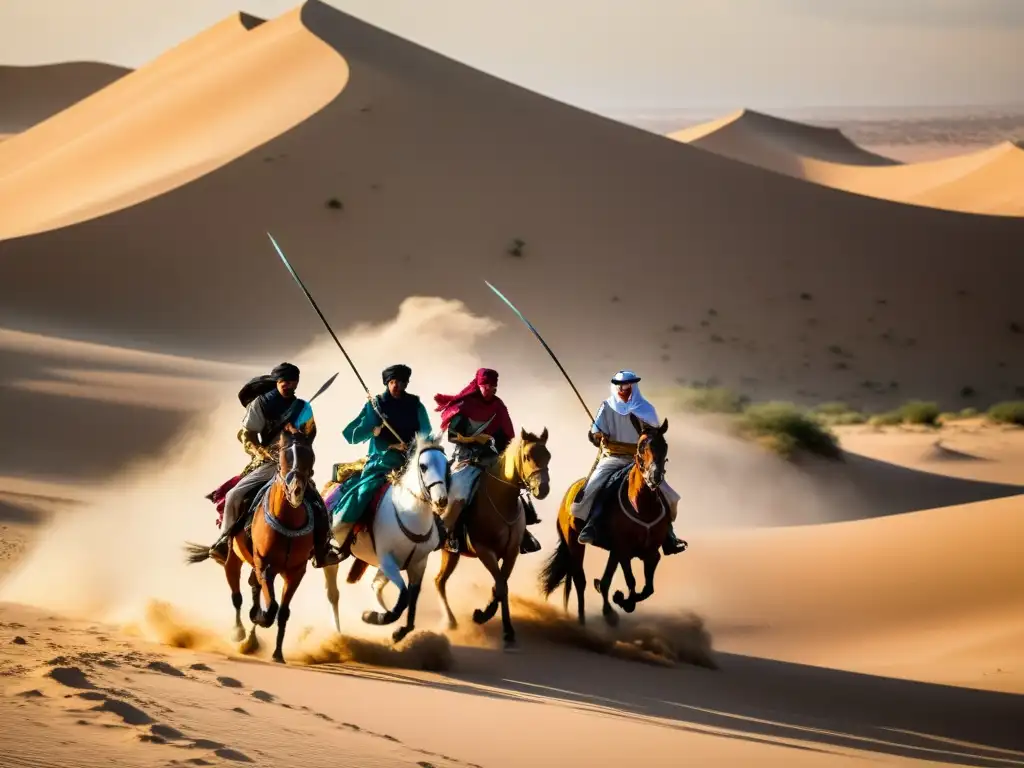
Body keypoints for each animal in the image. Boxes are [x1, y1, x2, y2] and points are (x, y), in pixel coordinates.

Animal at [182, 423, 313, 663]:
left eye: (310, 456)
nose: (296, 491)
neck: (287, 521)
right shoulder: (265, 565)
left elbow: (282, 612)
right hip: (234, 559)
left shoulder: (296, 571)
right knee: (237, 595)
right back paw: (240, 632)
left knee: (253, 588)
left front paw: (277, 654)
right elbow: (271, 608)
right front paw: (258, 619)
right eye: (284, 456)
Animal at [319, 434, 448, 643]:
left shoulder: (419, 563)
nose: (441, 500)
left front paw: (400, 630)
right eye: (423, 466)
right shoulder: (387, 561)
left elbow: (412, 597)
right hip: (332, 557)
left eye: (447, 464)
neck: (409, 514)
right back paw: (339, 635)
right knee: (333, 594)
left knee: (375, 586)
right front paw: (373, 617)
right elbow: (403, 597)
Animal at [434, 428, 552, 651]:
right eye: (527, 456)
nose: (542, 489)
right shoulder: (484, 551)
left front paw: (505, 628)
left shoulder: (511, 552)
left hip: (451, 553)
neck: (501, 499)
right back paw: (449, 621)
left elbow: (500, 586)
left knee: (439, 581)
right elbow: (501, 587)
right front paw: (484, 616)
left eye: (548, 456)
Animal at [536, 417, 671, 626]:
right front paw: (623, 600)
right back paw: (582, 620)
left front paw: (619, 600)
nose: (654, 476)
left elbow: (648, 588)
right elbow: (631, 581)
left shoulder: (650, 553)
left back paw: (607, 609)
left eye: (664, 445)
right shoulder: (623, 549)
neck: (642, 507)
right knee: (579, 580)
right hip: (574, 542)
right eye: (641, 446)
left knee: (603, 580)